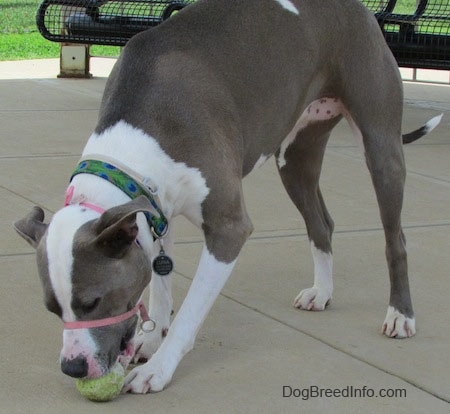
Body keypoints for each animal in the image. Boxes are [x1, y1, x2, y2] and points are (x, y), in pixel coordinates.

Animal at [13, 0, 440, 394]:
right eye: (52, 308)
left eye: (92, 302)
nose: (73, 368)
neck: (134, 147)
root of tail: (362, 10)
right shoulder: (156, 212)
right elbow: (160, 285)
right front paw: (151, 337)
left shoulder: (228, 228)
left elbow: (189, 312)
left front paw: (159, 368)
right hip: (295, 156)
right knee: (322, 223)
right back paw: (322, 291)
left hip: (380, 145)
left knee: (395, 238)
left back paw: (401, 315)